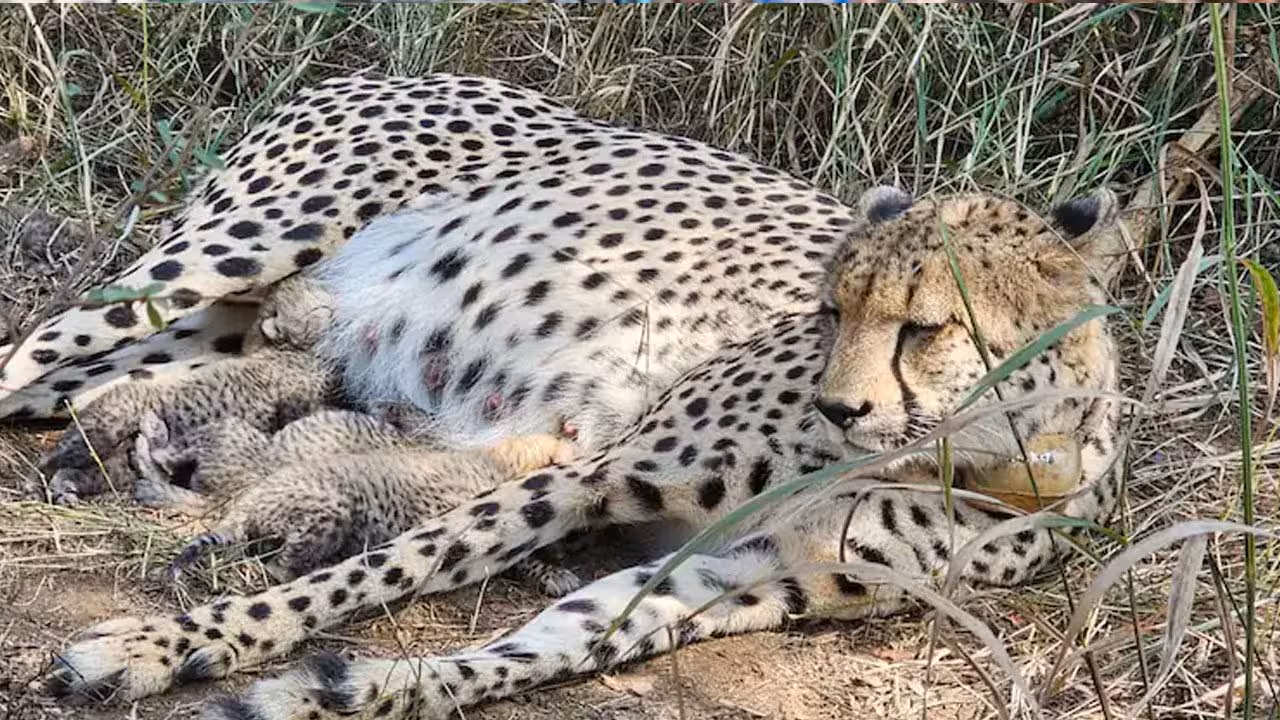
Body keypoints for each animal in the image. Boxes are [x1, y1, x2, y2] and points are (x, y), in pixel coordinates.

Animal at [3, 74, 1126, 719]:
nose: (836, 407)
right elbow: (387, 568)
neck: (980, 452)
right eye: (829, 307)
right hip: (214, 259)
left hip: (213, 329)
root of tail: (396, 66)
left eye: (923, 326)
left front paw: (362, 688)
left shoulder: (756, 575)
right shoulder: (594, 474)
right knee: (22, 354)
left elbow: (557, 642)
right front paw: (168, 646)